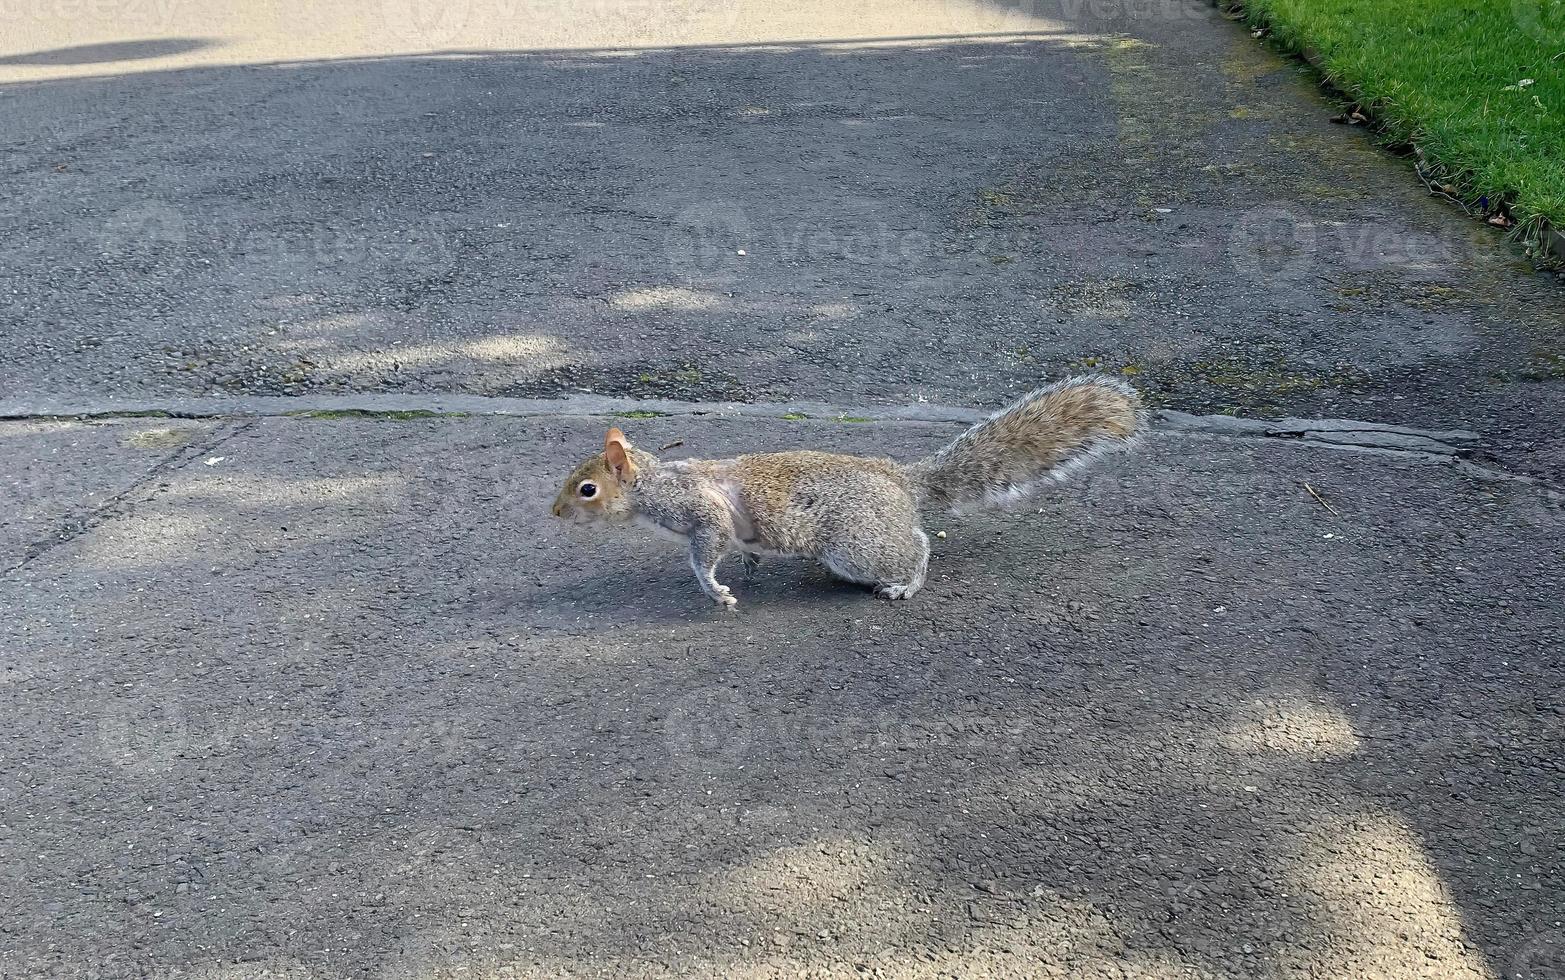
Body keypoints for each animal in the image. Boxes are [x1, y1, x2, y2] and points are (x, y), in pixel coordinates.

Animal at [554, 374, 1151, 604]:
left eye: (586, 490)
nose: (555, 513)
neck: (655, 482)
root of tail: (901, 481)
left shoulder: (699, 510)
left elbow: (706, 551)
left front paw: (715, 589)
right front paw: (745, 566)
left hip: (856, 544)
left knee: (918, 545)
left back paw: (905, 584)